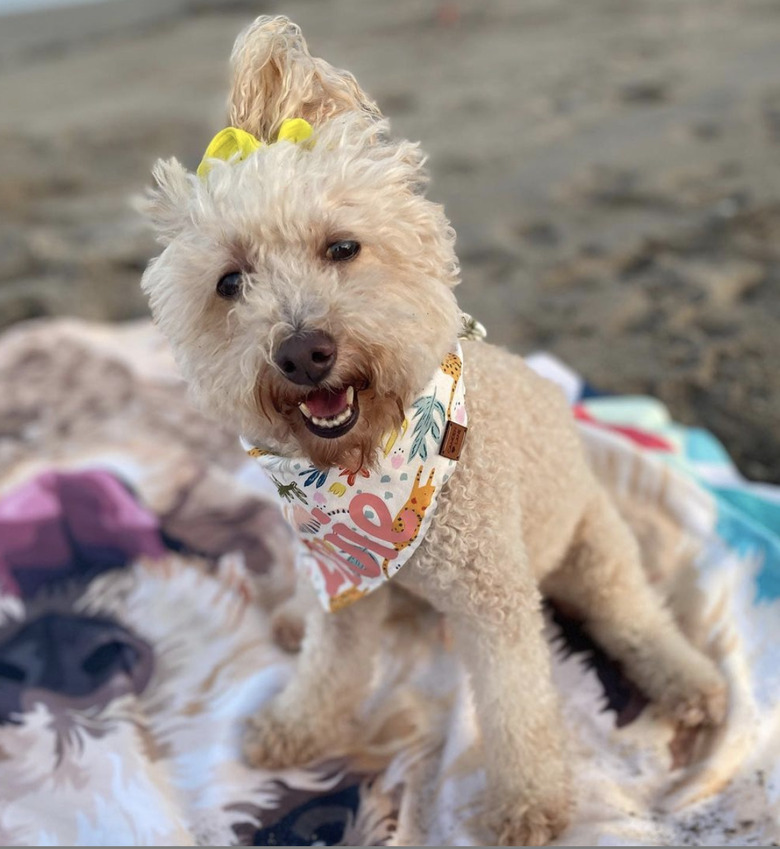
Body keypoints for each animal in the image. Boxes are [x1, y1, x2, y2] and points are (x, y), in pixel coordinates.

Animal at [139, 18, 724, 840]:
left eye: (341, 247)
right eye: (230, 282)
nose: (303, 352)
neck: (375, 468)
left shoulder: (495, 602)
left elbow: (517, 704)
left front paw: (527, 802)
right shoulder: (344, 590)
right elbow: (328, 664)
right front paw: (294, 727)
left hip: (597, 550)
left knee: (636, 617)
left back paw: (688, 682)